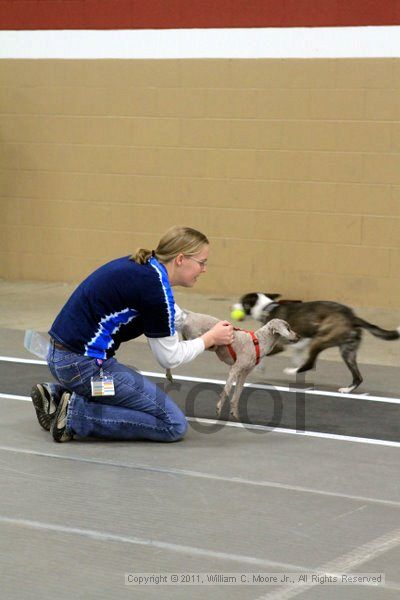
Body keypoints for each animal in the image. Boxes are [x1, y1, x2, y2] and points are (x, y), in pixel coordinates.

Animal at [231, 292, 400, 394]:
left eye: (243, 302)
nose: (233, 306)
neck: (267, 308)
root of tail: (352, 317)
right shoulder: (299, 344)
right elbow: (296, 355)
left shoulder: (280, 345)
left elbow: (262, 354)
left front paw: (260, 368)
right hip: (348, 351)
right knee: (357, 376)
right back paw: (346, 390)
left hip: (321, 340)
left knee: (310, 363)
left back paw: (291, 371)